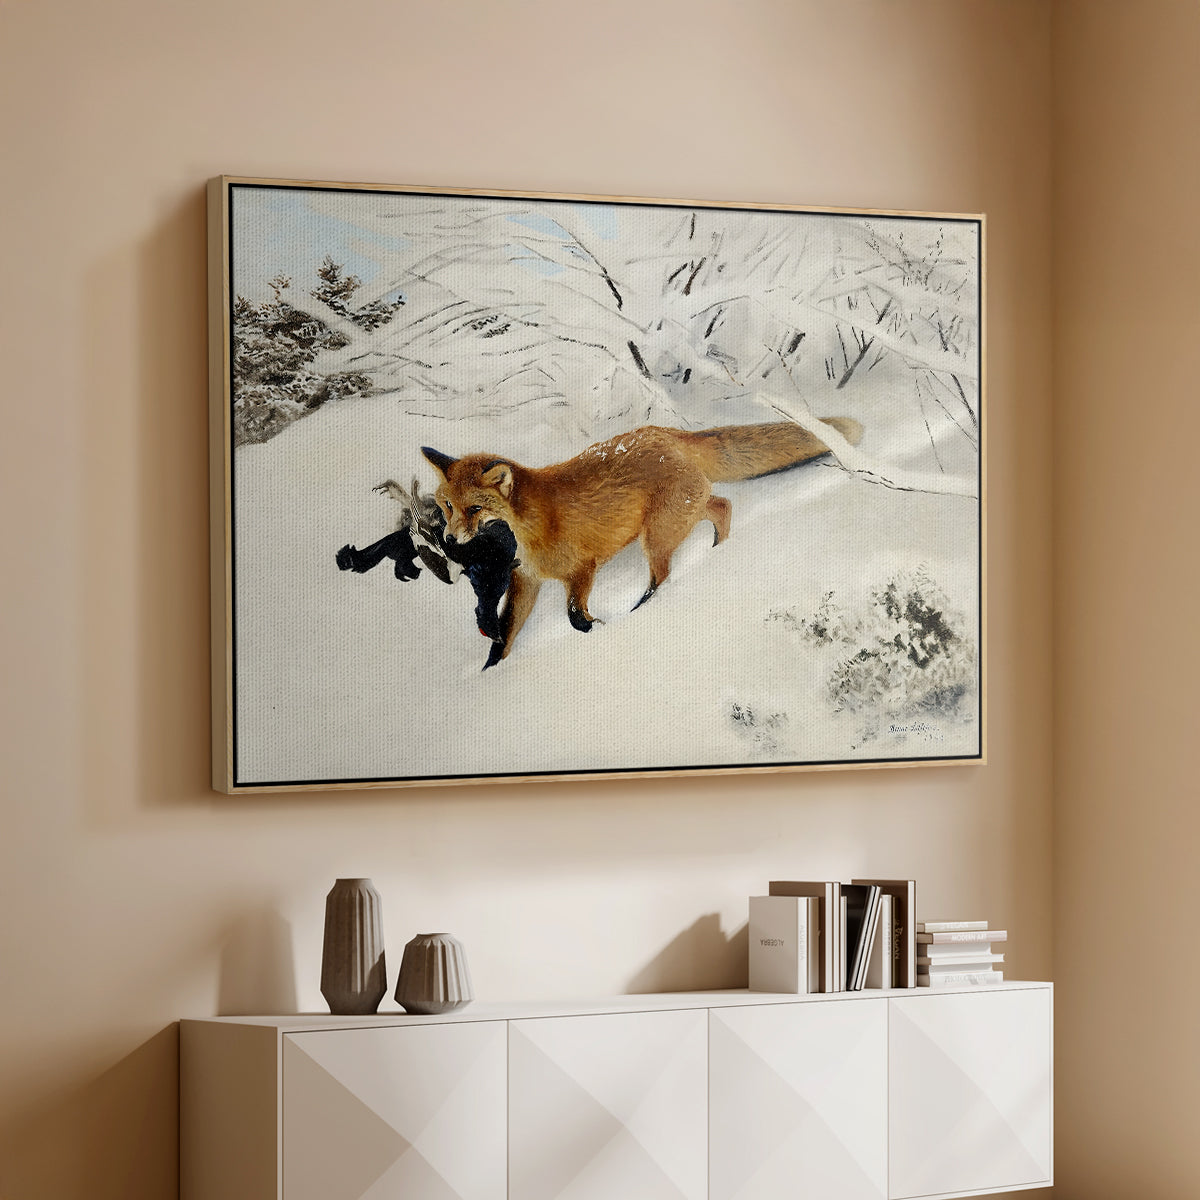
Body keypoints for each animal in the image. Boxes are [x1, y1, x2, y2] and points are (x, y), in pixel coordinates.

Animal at [422, 417, 864, 665]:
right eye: (447, 505)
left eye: (474, 509)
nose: (449, 538)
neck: (531, 528)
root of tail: (666, 433)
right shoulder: (526, 580)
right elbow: (506, 634)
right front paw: (490, 672)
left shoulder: (582, 569)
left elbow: (574, 615)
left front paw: (597, 629)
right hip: (680, 516)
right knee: (722, 505)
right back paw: (719, 550)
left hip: (658, 535)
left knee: (663, 575)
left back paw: (645, 608)